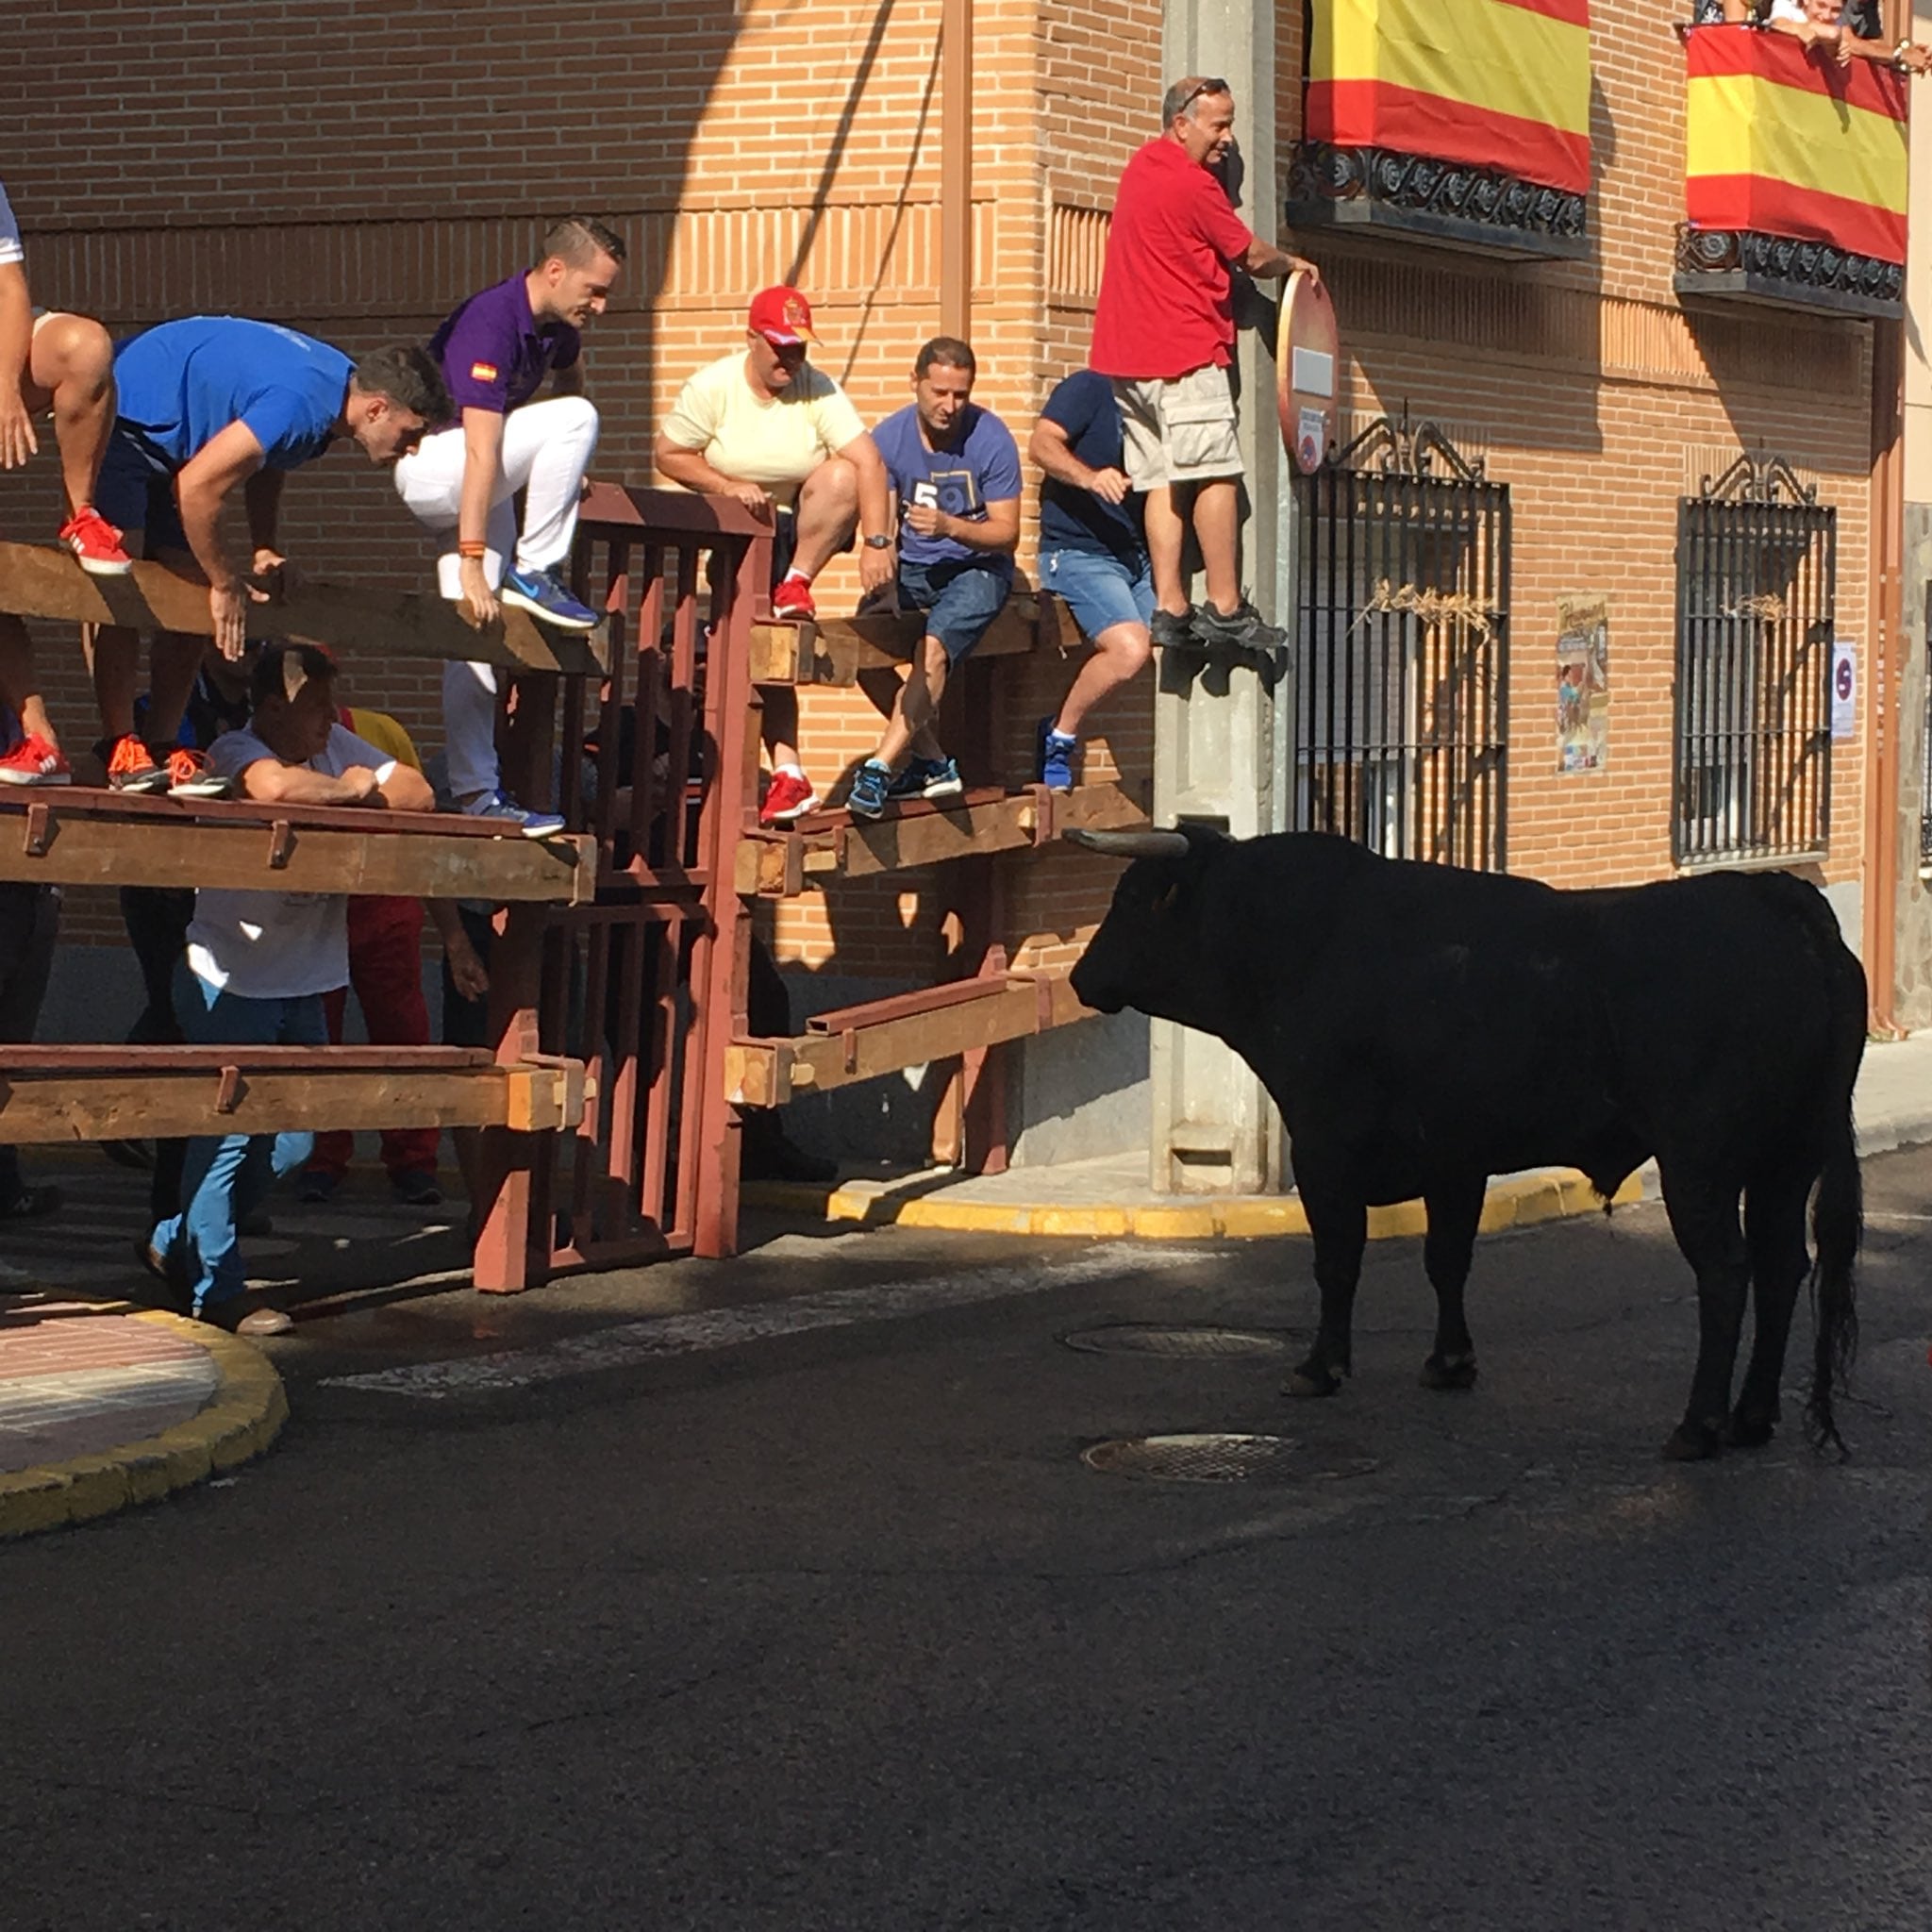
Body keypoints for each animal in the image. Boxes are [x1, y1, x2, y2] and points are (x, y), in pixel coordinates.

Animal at [1066, 823, 1862, 1453]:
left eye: (1131, 902)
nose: (1080, 976)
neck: (1306, 943)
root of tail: (1777, 903)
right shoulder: (1455, 1156)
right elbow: (1447, 1259)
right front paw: (1450, 1363)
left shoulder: (1325, 1144)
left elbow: (1338, 1261)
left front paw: (1320, 1368)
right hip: (1788, 1156)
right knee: (1782, 1264)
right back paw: (1752, 1417)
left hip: (1701, 1160)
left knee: (1727, 1271)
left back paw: (1699, 1427)